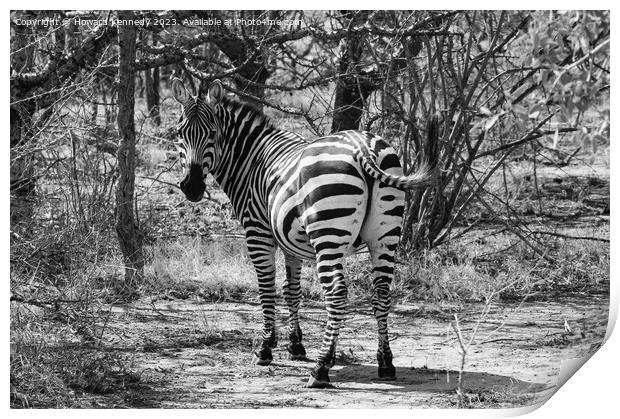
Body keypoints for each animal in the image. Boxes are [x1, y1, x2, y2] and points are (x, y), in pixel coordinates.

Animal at [170, 79, 436, 390]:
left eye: (212, 133)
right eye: (179, 133)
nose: (192, 187)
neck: (250, 159)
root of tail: (362, 146)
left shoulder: (258, 233)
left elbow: (267, 288)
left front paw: (266, 348)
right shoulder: (290, 242)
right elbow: (292, 290)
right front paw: (295, 345)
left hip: (328, 234)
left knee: (336, 292)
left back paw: (321, 368)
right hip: (385, 237)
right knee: (381, 292)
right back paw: (385, 363)